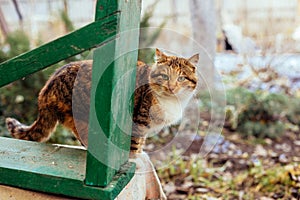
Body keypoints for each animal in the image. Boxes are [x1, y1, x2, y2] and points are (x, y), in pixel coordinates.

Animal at [5, 48, 198, 152]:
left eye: (181, 78)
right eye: (165, 76)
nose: (171, 87)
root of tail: (45, 90)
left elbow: (141, 143)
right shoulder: (138, 122)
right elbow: (134, 144)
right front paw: (134, 160)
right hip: (82, 116)